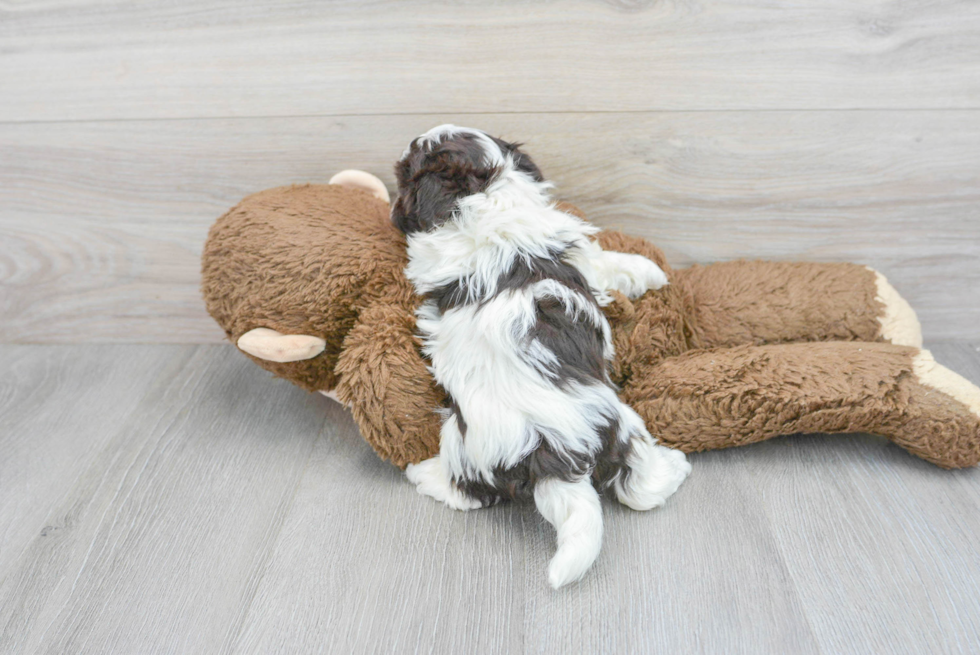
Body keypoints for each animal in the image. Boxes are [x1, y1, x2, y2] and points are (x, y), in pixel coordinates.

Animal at [390, 124, 688, 588]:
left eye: (408, 166)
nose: (413, 136)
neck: (487, 193)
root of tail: (554, 449)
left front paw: (653, 272)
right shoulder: (586, 259)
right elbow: (614, 264)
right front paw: (653, 271)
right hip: (594, 429)